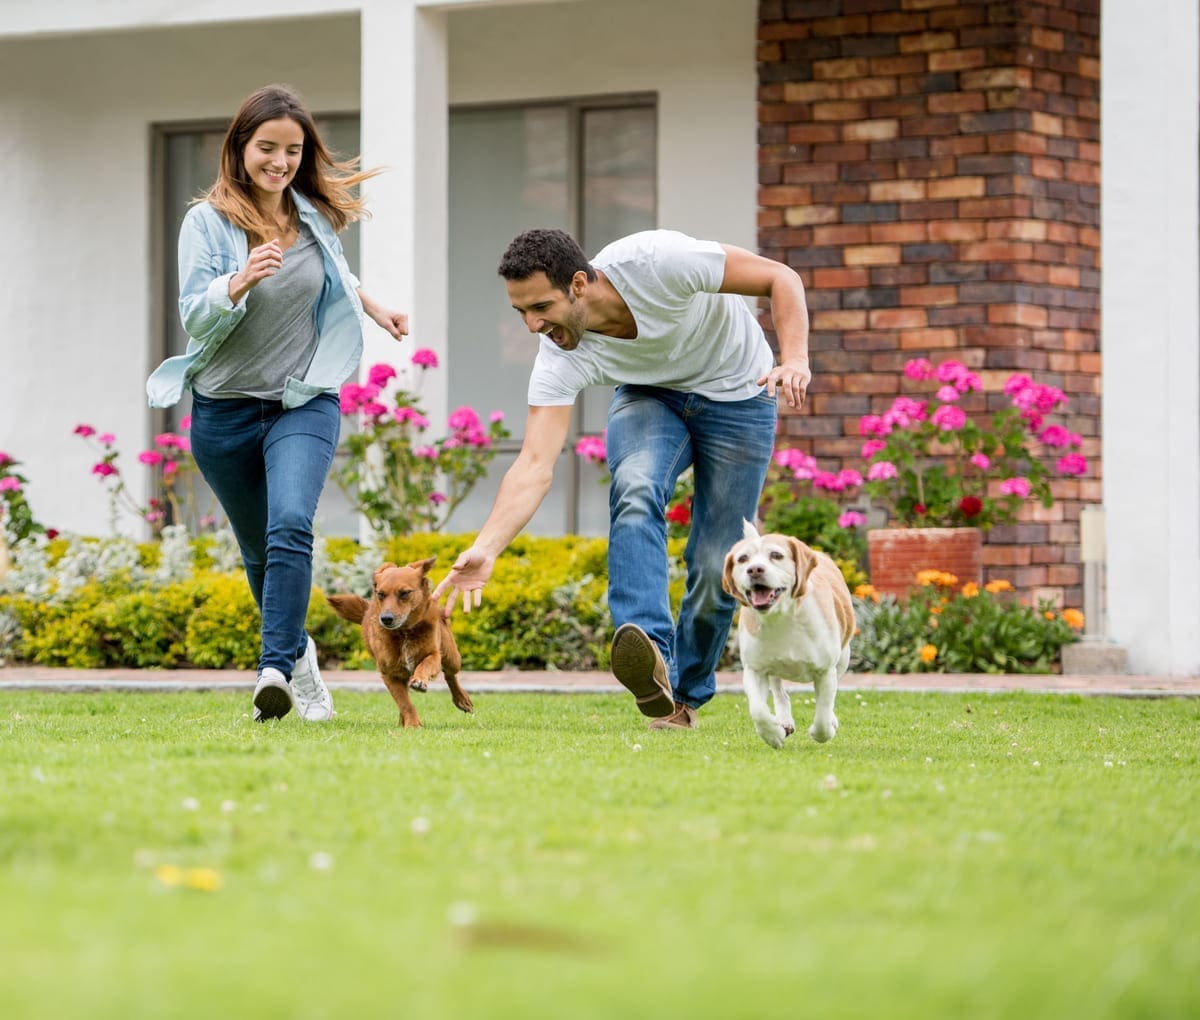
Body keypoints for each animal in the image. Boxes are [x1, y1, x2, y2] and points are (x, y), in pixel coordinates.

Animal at [331, 556, 475, 724]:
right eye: (380, 594)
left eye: (404, 593)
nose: (386, 619)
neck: (404, 632)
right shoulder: (390, 674)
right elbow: (405, 703)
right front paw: (412, 724)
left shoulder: (433, 655)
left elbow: (425, 664)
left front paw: (420, 681)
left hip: (452, 658)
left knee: (450, 675)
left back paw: (461, 699)